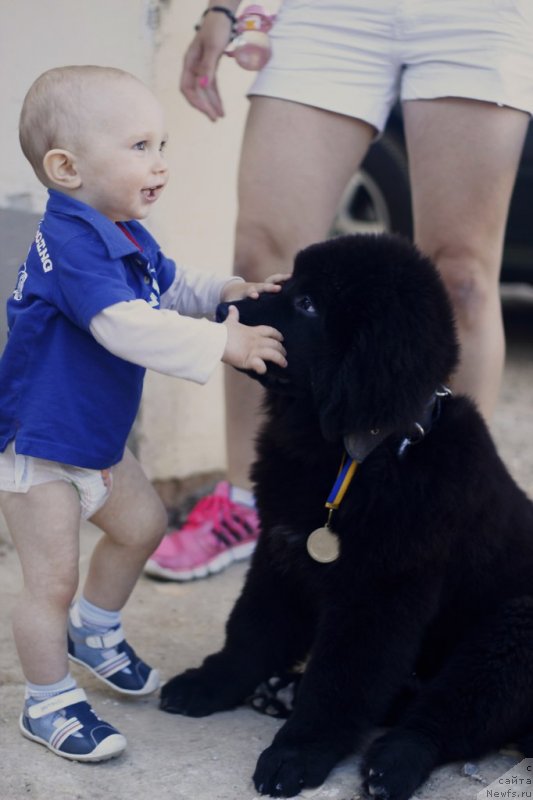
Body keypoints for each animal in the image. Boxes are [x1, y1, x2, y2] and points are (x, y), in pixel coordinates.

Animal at [160, 233, 532, 800]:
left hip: (513, 631)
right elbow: (251, 628)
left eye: (308, 304)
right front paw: (210, 682)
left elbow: (341, 680)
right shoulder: (281, 551)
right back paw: (284, 691)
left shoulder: (378, 592)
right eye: (289, 281)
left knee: (450, 712)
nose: (225, 310)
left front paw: (298, 752)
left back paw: (394, 762)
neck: (354, 456)